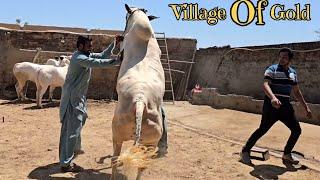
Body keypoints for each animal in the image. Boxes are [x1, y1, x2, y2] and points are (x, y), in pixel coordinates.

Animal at [111, 4, 164, 180]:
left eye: (126, 16)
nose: (120, 35)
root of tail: (140, 101)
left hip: (117, 136)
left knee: (115, 159)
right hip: (150, 144)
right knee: (142, 165)